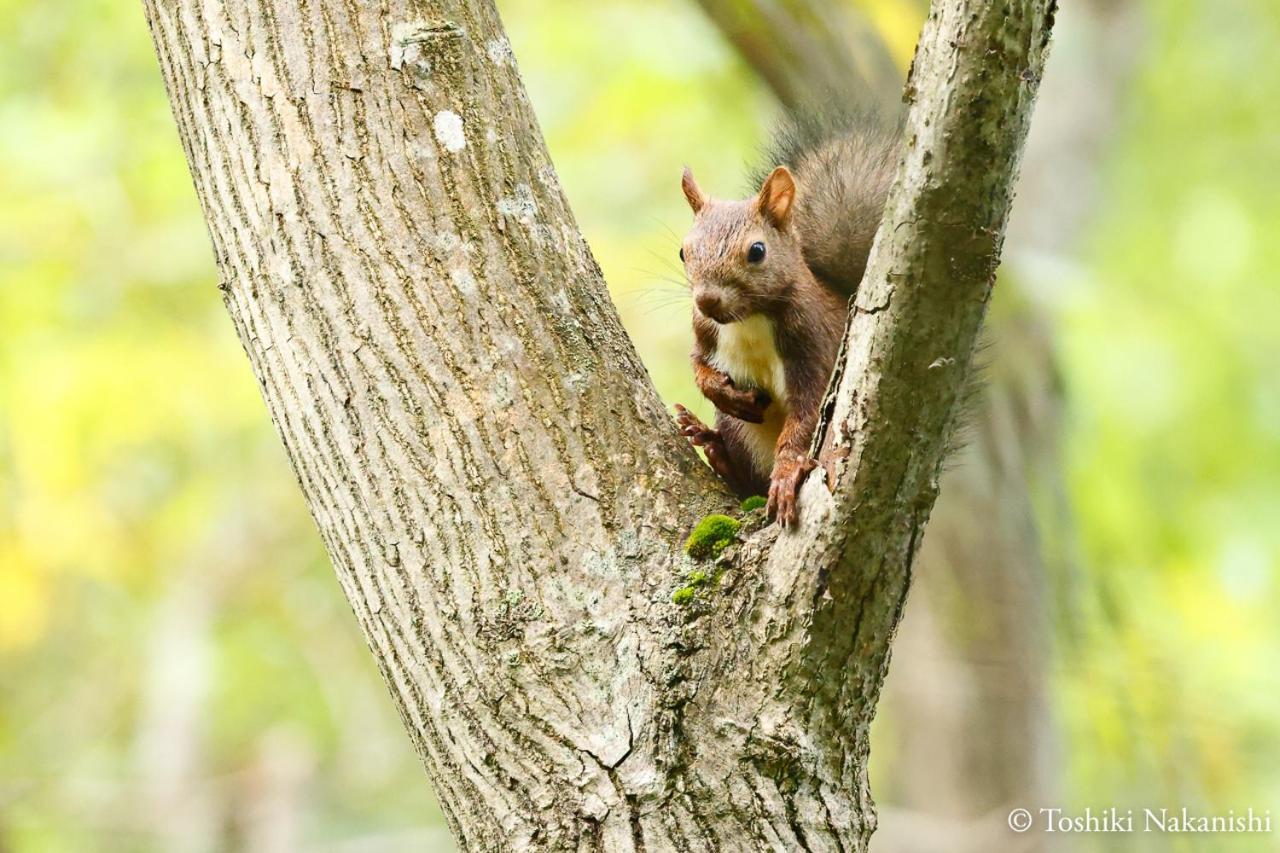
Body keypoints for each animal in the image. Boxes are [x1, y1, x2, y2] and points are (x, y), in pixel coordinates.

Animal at [670, 114, 901, 525]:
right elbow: (699, 367)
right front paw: (724, 392)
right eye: (683, 252)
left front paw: (787, 473)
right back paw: (713, 446)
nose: (707, 300)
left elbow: (805, 418)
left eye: (757, 251)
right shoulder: (705, 331)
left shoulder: (812, 349)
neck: (747, 320)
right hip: (738, 429)